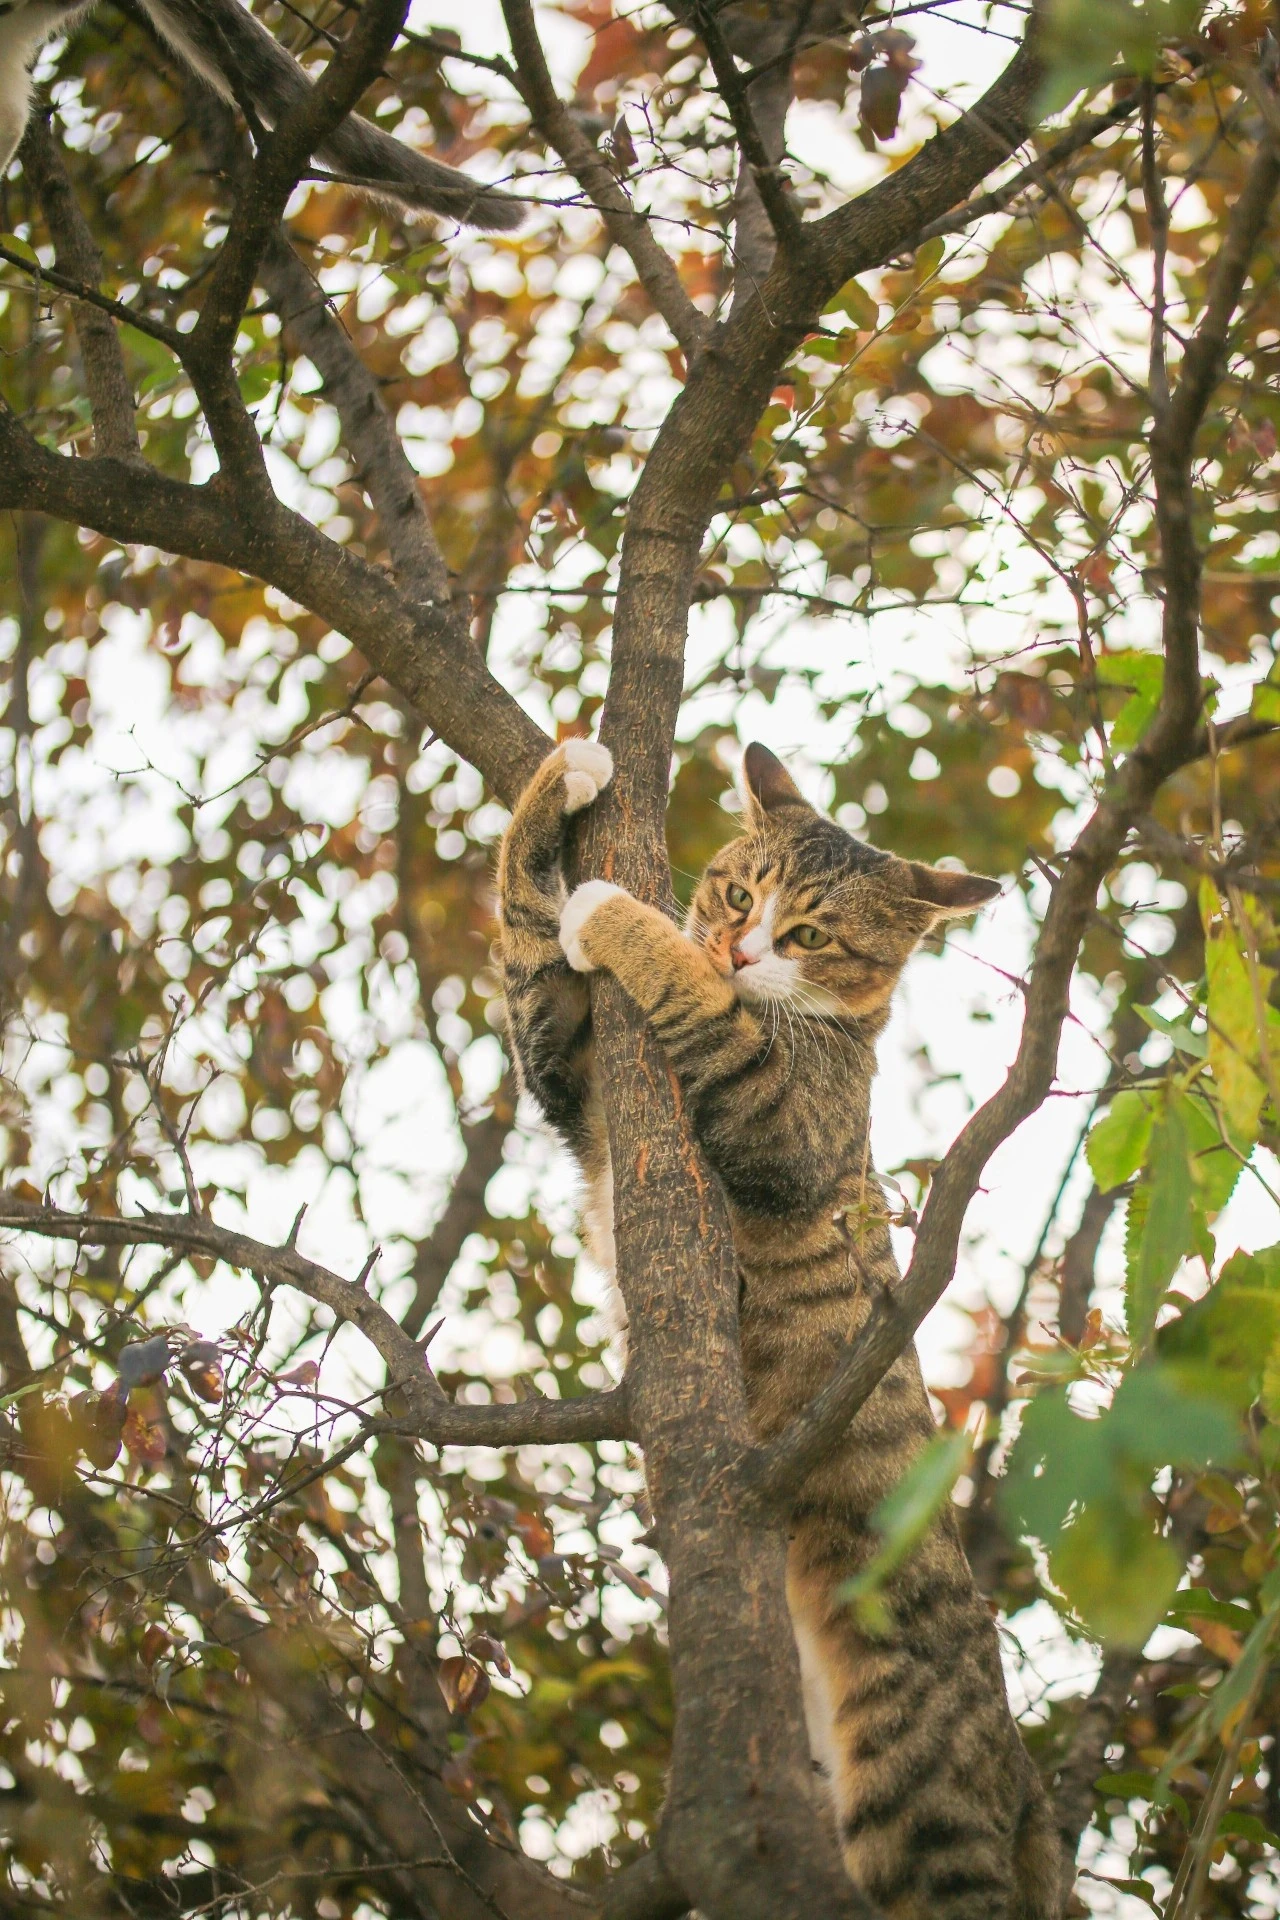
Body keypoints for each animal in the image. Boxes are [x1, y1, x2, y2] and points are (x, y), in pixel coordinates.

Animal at [498, 736, 1064, 1920]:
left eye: (808, 936)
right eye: (733, 892)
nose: (729, 940)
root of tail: (1026, 1791)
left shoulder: (780, 1119)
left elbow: (698, 1006)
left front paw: (617, 913)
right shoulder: (572, 1075)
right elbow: (524, 938)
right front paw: (562, 780)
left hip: (919, 1808)